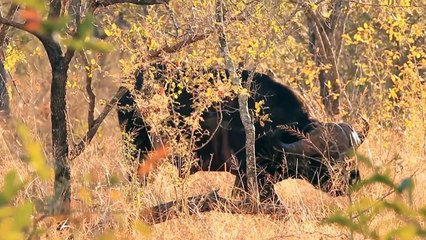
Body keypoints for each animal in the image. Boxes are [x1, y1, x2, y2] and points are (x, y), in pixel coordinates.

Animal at [117, 66, 370, 204]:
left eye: (351, 154)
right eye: (325, 158)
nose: (352, 178)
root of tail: (128, 88)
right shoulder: (250, 178)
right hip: (138, 152)